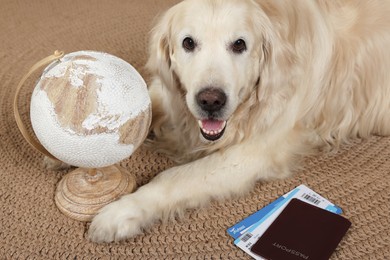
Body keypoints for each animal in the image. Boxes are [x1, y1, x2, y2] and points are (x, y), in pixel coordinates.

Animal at [87, 0, 388, 243]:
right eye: (188, 42)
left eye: (239, 44)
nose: (210, 101)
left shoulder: (253, 153)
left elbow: (174, 177)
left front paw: (122, 211)